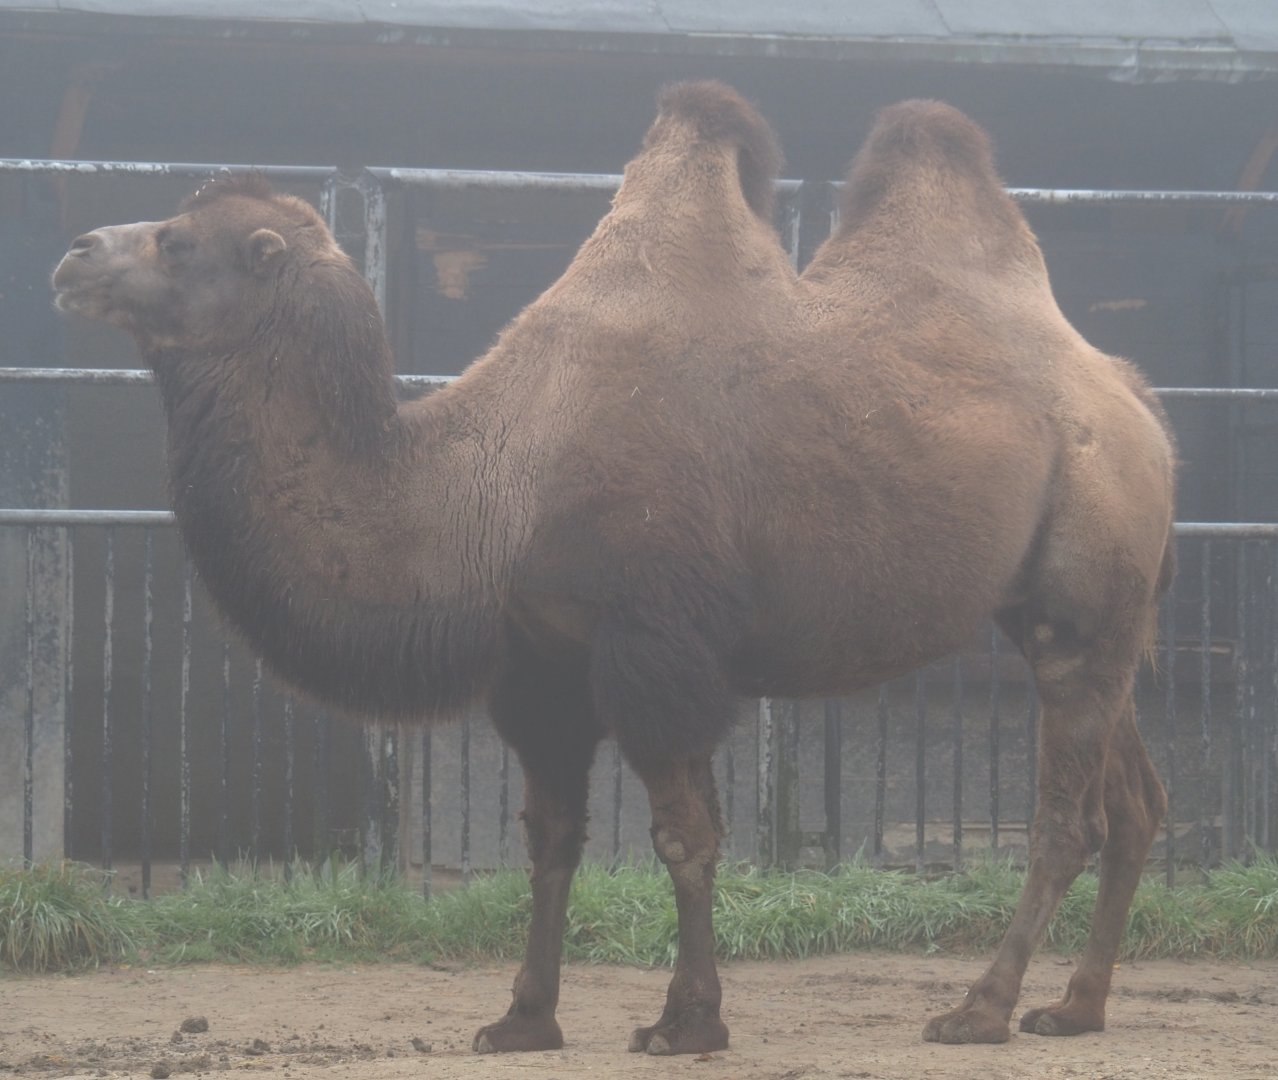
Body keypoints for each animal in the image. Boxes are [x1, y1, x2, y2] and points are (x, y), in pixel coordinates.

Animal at [53, 81, 1175, 1054]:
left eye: (177, 240)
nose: (72, 253)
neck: (489, 491)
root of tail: (1132, 399)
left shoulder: (653, 648)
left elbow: (685, 838)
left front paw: (688, 1023)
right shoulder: (544, 668)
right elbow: (552, 840)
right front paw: (521, 1020)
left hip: (1085, 580)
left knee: (1067, 816)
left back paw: (981, 1008)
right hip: (1070, 611)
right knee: (1134, 801)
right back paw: (1075, 1008)